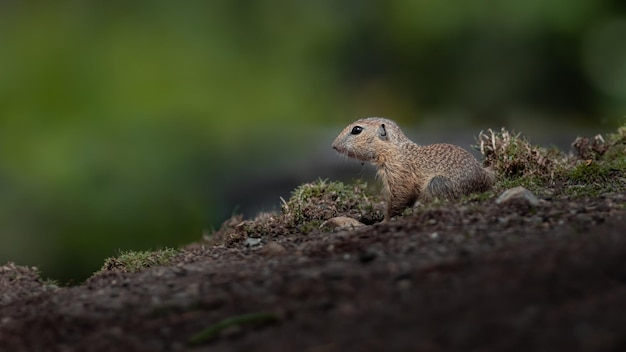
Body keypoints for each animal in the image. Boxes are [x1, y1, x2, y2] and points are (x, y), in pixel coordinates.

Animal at [332, 117, 492, 219]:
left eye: (356, 130)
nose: (333, 145)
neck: (395, 150)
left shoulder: (398, 174)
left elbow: (399, 198)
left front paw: (385, 220)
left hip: (437, 183)